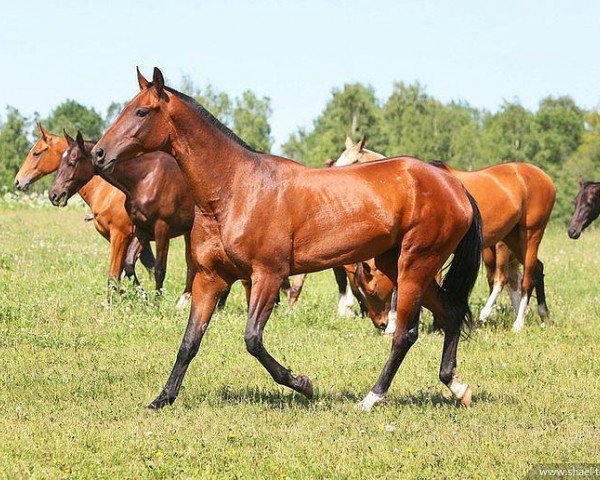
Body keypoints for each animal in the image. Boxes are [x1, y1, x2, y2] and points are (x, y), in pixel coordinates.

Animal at [16, 124, 154, 288]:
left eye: (36, 153)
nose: (18, 181)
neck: (107, 191)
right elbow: (136, 269)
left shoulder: (120, 235)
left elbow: (117, 275)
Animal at [49, 129, 196, 306]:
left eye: (73, 161)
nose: (53, 194)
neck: (145, 178)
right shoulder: (142, 229)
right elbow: (128, 265)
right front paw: (143, 297)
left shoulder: (161, 229)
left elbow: (159, 269)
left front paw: (155, 303)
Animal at [90, 68, 482, 412]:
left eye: (142, 111)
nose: (98, 154)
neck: (236, 189)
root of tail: (452, 184)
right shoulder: (209, 279)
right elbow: (189, 343)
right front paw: (162, 399)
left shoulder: (268, 275)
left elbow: (252, 339)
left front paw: (304, 385)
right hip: (397, 264)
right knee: (451, 312)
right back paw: (457, 387)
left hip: (415, 264)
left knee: (405, 333)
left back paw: (371, 399)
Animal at [336, 139, 556, 332]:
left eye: (354, 161)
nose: (379, 324)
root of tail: (543, 176)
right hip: (512, 238)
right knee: (536, 269)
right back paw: (543, 315)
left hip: (530, 234)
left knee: (524, 276)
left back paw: (515, 322)